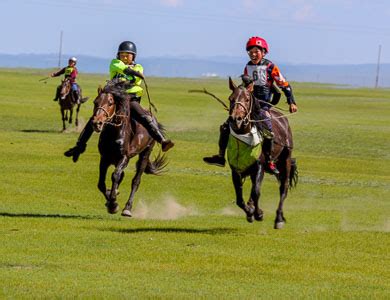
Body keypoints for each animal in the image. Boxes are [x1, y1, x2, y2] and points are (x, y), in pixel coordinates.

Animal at [92, 79, 167, 216]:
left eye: (110, 103)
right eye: (95, 102)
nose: (97, 123)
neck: (114, 132)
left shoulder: (124, 157)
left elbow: (115, 176)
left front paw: (113, 204)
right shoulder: (104, 158)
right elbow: (101, 183)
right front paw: (110, 199)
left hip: (145, 154)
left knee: (136, 181)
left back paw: (127, 208)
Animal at [225, 76, 298, 229]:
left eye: (247, 99)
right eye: (231, 98)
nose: (236, 119)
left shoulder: (260, 166)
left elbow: (256, 191)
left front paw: (258, 214)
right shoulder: (236, 170)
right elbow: (240, 198)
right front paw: (249, 212)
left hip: (286, 160)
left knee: (283, 188)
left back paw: (279, 219)